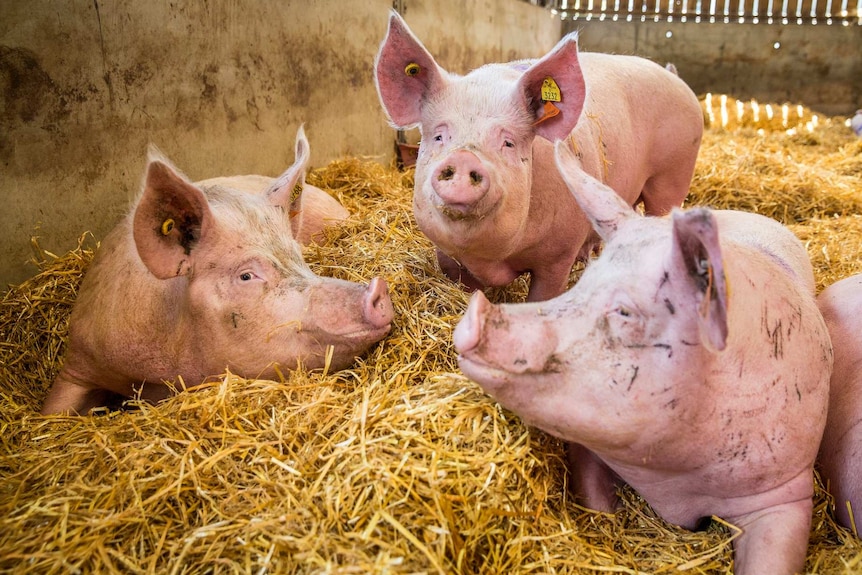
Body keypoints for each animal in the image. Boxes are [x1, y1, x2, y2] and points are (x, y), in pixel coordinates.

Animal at [374, 11, 704, 304]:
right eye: (440, 137)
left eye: (508, 142)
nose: (466, 157)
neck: (494, 259)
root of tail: (675, 78)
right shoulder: (447, 255)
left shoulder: (558, 254)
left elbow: (544, 294)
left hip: (673, 175)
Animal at [452, 142, 836, 572]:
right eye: (582, 284)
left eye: (625, 312)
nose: (473, 313)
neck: (673, 480)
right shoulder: (590, 445)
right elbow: (596, 500)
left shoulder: (786, 489)